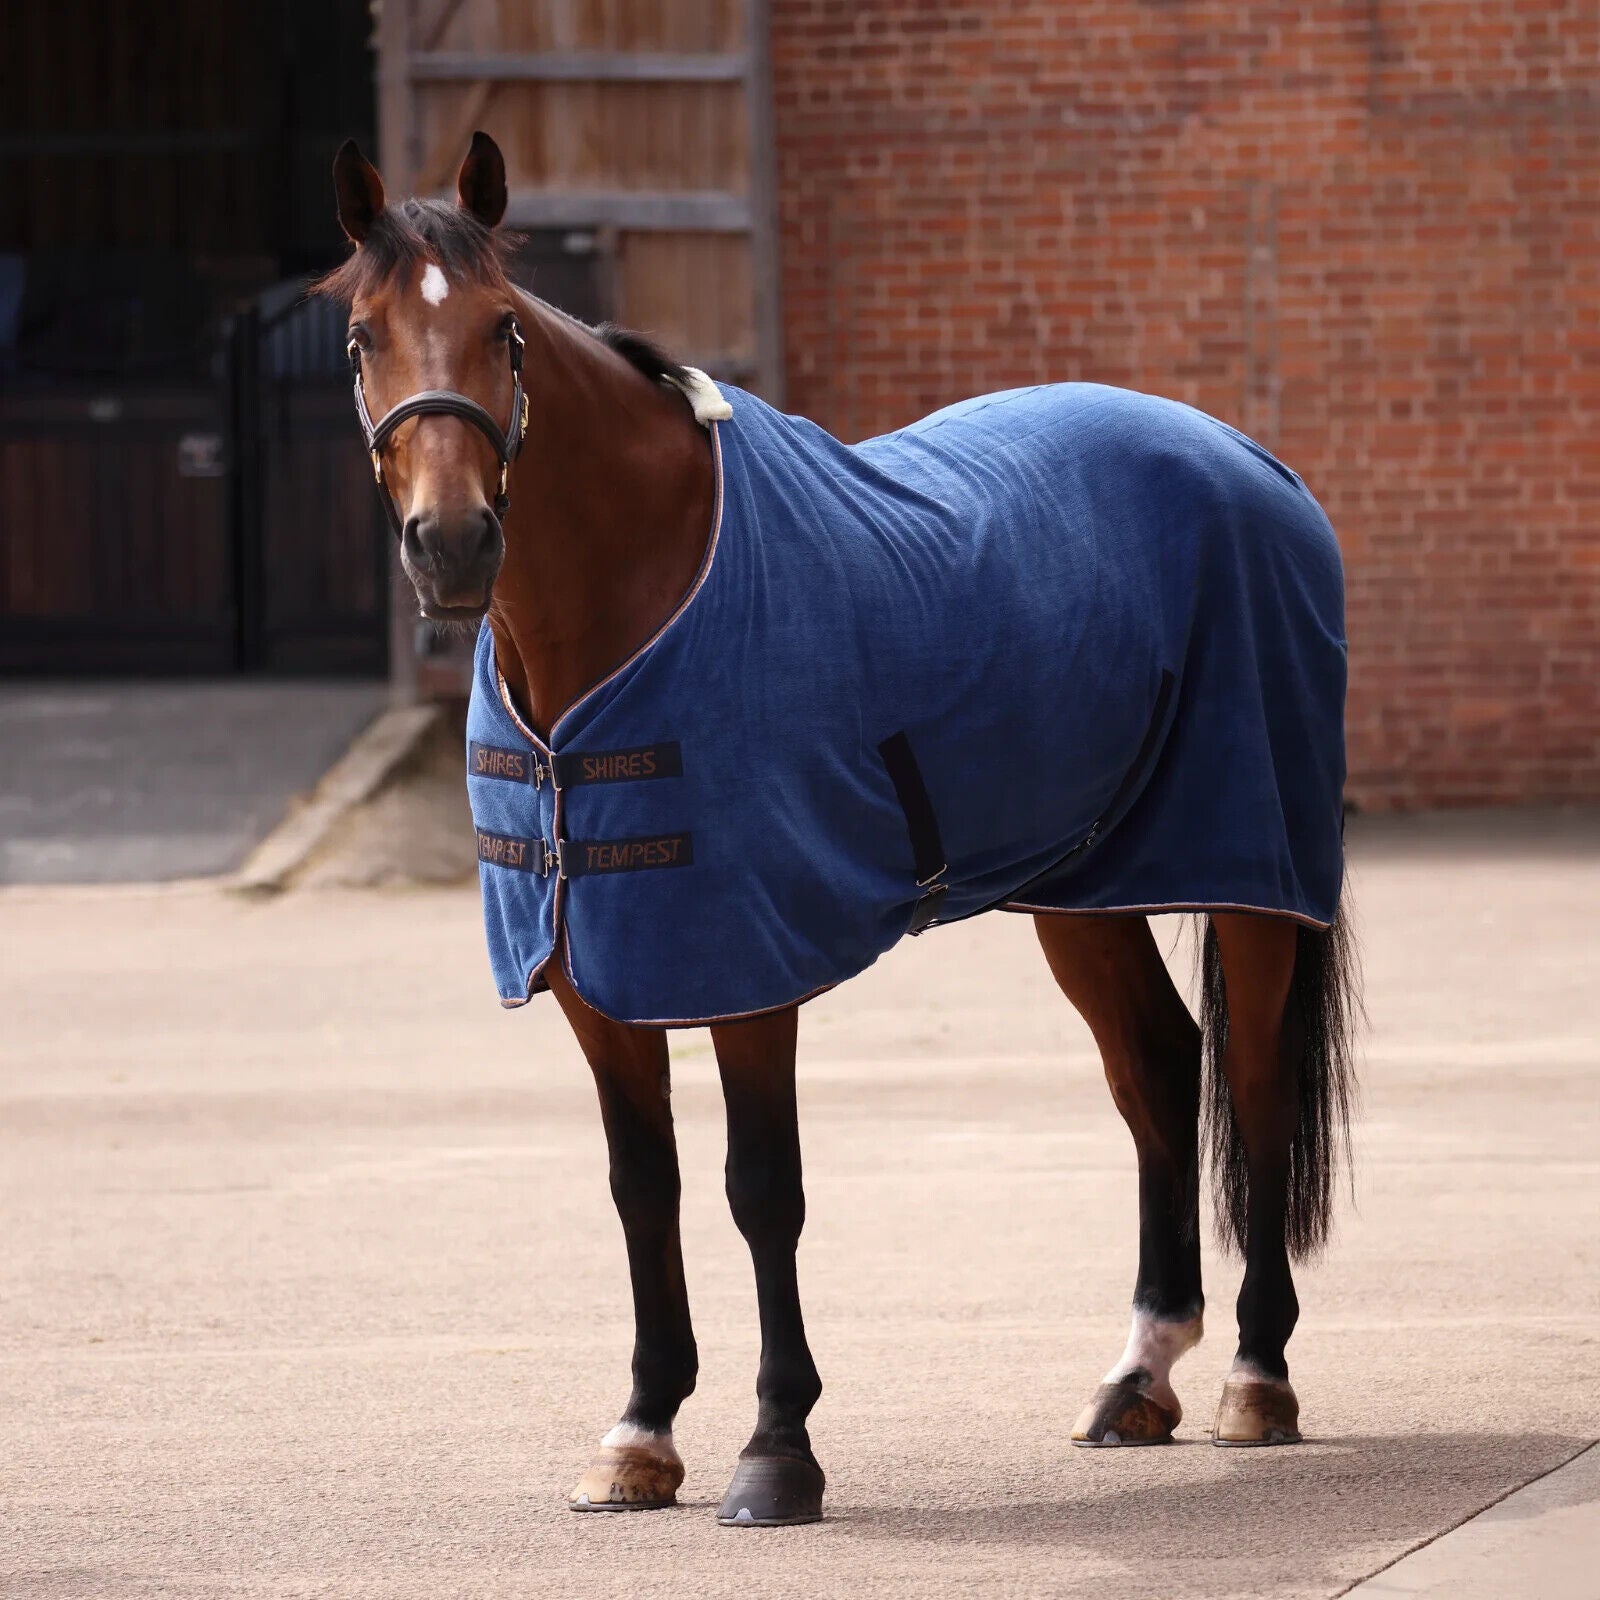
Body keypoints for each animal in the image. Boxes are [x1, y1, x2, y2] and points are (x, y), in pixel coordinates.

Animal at [317, 132, 1360, 1528]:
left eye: (503, 331)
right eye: (361, 338)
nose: (450, 544)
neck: (638, 583)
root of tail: (1252, 461)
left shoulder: (748, 965)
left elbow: (763, 1191)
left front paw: (776, 1449)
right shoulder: (593, 968)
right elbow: (641, 1187)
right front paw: (640, 1433)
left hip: (1249, 866)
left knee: (1246, 1079)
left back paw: (1256, 1373)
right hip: (1081, 887)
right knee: (1156, 1067)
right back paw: (1140, 1372)